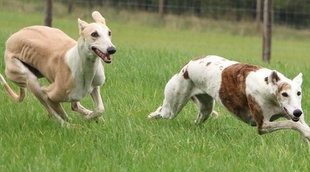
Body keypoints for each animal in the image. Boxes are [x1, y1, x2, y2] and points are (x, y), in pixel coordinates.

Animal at [148, 55, 310, 140]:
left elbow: (300, 124)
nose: (297, 112)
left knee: (197, 120)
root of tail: (188, 65)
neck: (267, 86)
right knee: (162, 111)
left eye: (299, 93)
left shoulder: (291, 114)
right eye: (284, 94)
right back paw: (151, 116)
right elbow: (293, 124)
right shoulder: (262, 125)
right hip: (173, 106)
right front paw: (305, 132)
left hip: (206, 109)